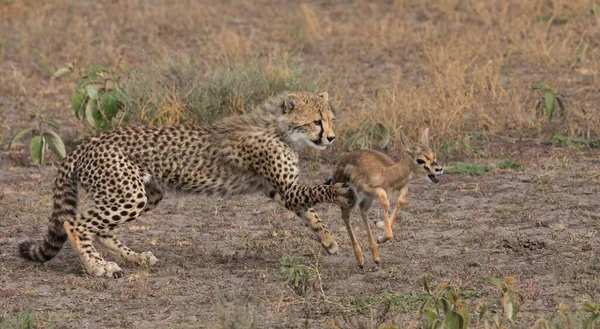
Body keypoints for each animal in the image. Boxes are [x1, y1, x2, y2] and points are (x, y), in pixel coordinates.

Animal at [18, 91, 356, 276]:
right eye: (317, 121)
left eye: (331, 119)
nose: (331, 138)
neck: (279, 128)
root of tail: (86, 142)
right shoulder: (285, 186)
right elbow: (315, 193)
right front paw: (338, 190)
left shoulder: (278, 189)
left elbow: (309, 211)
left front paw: (327, 240)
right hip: (130, 194)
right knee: (75, 223)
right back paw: (99, 267)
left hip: (147, 193)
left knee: (98, 228)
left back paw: (136, 258)